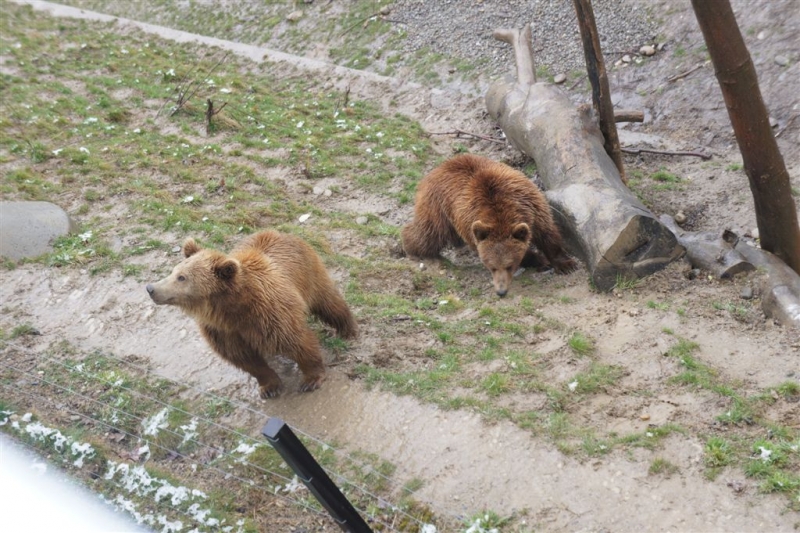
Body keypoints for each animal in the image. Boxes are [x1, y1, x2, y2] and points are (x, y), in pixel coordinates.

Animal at [146, 230, 357, 398]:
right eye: (174, 271)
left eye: (182, 277)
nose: (151, 288)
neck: (230, 310)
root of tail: (280, 232)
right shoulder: (223, 331)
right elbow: (245, 359)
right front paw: (269, 387)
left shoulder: (269, 314)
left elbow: (297, 341)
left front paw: (311, 379)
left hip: (309, 274)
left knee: (328, 301)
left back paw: (348, 330)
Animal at [401, 153, 576, 297]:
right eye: (491, 267)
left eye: (509, 266)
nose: (501, 291)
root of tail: (437, 168)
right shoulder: (470, 224)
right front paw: (538, 259)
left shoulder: (533, 209)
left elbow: (548, 234)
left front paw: (565, 264)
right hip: (439, 207)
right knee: (429, 234)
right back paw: (409, 248)